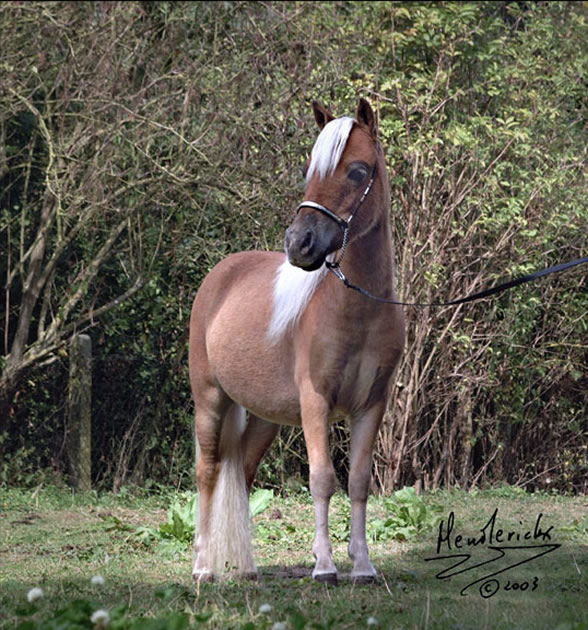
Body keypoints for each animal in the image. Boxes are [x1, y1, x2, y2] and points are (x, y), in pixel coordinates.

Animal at [188, 99, 404, 588]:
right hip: (210, 400)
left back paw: (245, 568)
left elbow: (358, 480)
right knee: (209, 472)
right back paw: (204, 566)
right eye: (310, 168)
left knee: (243, 473)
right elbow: (322, 478)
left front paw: (362, 566)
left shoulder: (372, 405)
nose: (299, 244)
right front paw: (324, 566)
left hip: (264, 417)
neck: (357, 309)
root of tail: (219, 275)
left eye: (358, 172)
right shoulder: (315, 402)